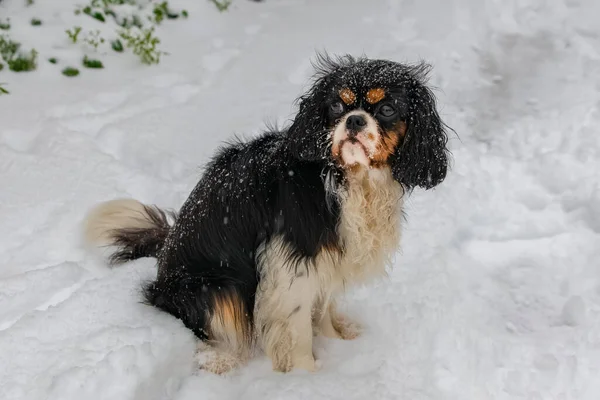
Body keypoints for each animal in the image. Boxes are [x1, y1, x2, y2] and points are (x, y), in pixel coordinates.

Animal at [83, 54, 450, 374]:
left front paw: (335, 339)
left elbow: (323, 307)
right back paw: (221, 361)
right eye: (336, 105)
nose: (355, 119)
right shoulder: (289, 263)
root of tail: (163, 255)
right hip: (218, 287)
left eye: (387, 109)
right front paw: (307, 376)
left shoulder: (326, 258)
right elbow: (297, 327)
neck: (346, 176)